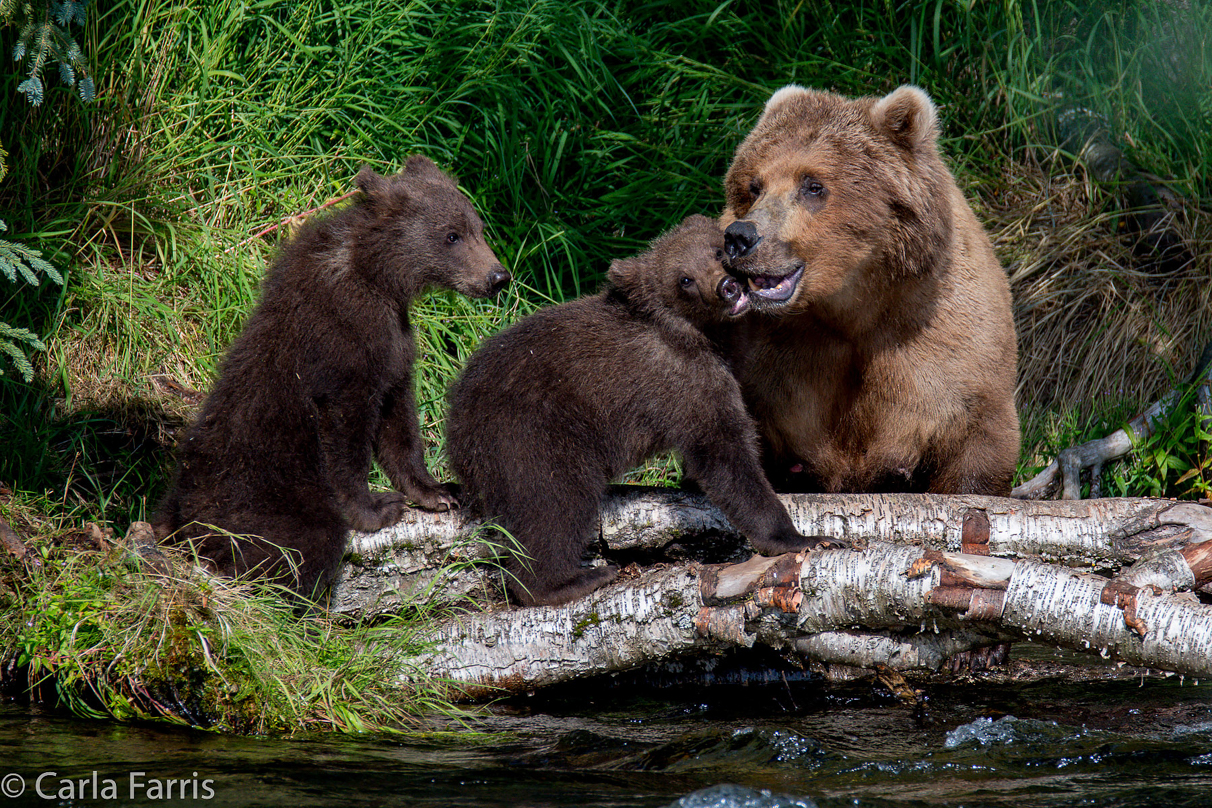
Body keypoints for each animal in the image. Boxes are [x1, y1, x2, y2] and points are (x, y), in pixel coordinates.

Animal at [722, 85, 1018, 496]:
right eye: (754, 185)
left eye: (813, 185)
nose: (741, 236)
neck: (852, 308)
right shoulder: (775, 359)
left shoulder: (945, 344)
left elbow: (975, 441)